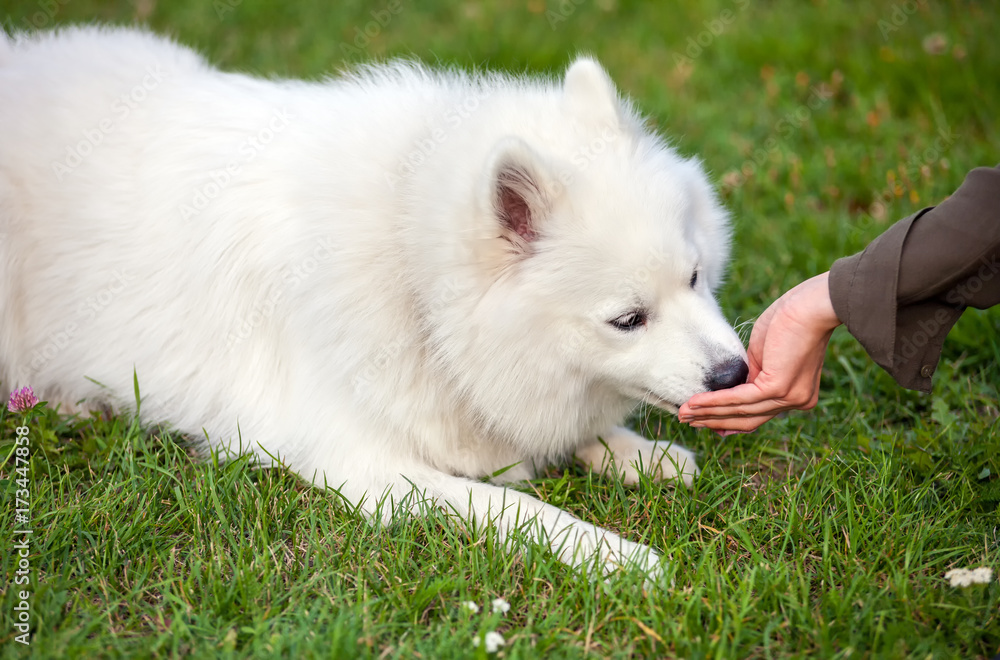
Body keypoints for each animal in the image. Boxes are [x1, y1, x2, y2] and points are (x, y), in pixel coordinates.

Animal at [0, 27, 748, 576]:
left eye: (694, 277)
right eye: (628, 319)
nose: (735, 374)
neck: (408, 263)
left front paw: (638, 454)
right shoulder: (366, 467)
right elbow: (511, 509)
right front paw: (614, 555)